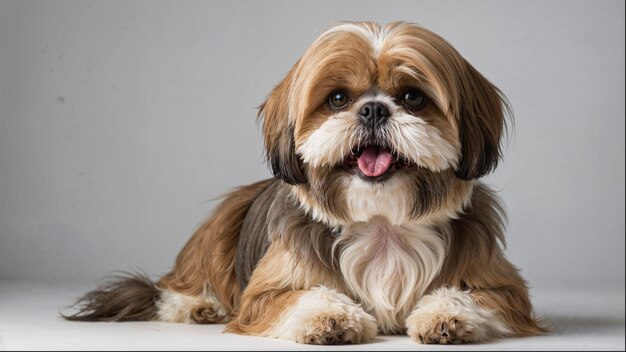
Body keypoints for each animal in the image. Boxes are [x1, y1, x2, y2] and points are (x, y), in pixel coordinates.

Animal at [63, 21, 540, 344]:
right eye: (338, 98)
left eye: (412, 96)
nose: (373, 109)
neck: (383, 224)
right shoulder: (265, 293)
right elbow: (303, 296)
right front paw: (328, 318)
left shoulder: (504, 289)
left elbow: (473, 295)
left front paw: (446, 315)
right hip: (220, 227)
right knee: (178, 286)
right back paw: (196, 305)